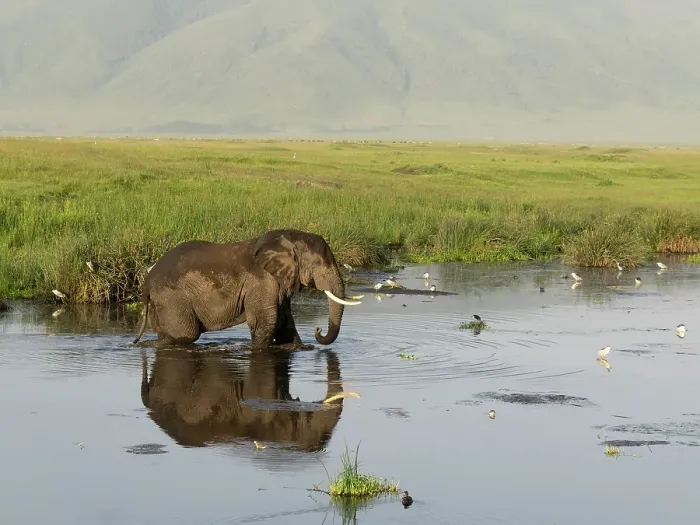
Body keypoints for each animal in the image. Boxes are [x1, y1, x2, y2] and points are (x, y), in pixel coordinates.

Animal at [132, 229, 362, 349]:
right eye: (319, 265)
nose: (317, 330)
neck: (288, 238)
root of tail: (147, 281)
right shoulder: (261, 281)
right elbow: (266, 321)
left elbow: (284, 320)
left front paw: (301, 349)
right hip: (172, 298)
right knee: (186, 334)